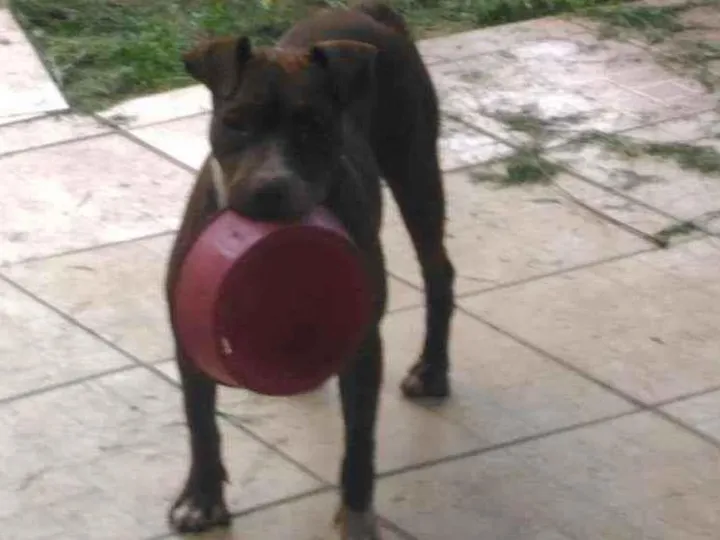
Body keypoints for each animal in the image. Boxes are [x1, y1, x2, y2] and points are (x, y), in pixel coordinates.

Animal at [164, 2, 455, 538]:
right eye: (235, 122)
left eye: (313, 126)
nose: (270, 188)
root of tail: (367, 14)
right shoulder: (188, 332)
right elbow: (201, 422)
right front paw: (202, 499)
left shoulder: (364, 344)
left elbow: (359, 440)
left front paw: (356, 516)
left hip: (416, 166)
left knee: (439, 272)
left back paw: (432, 370)